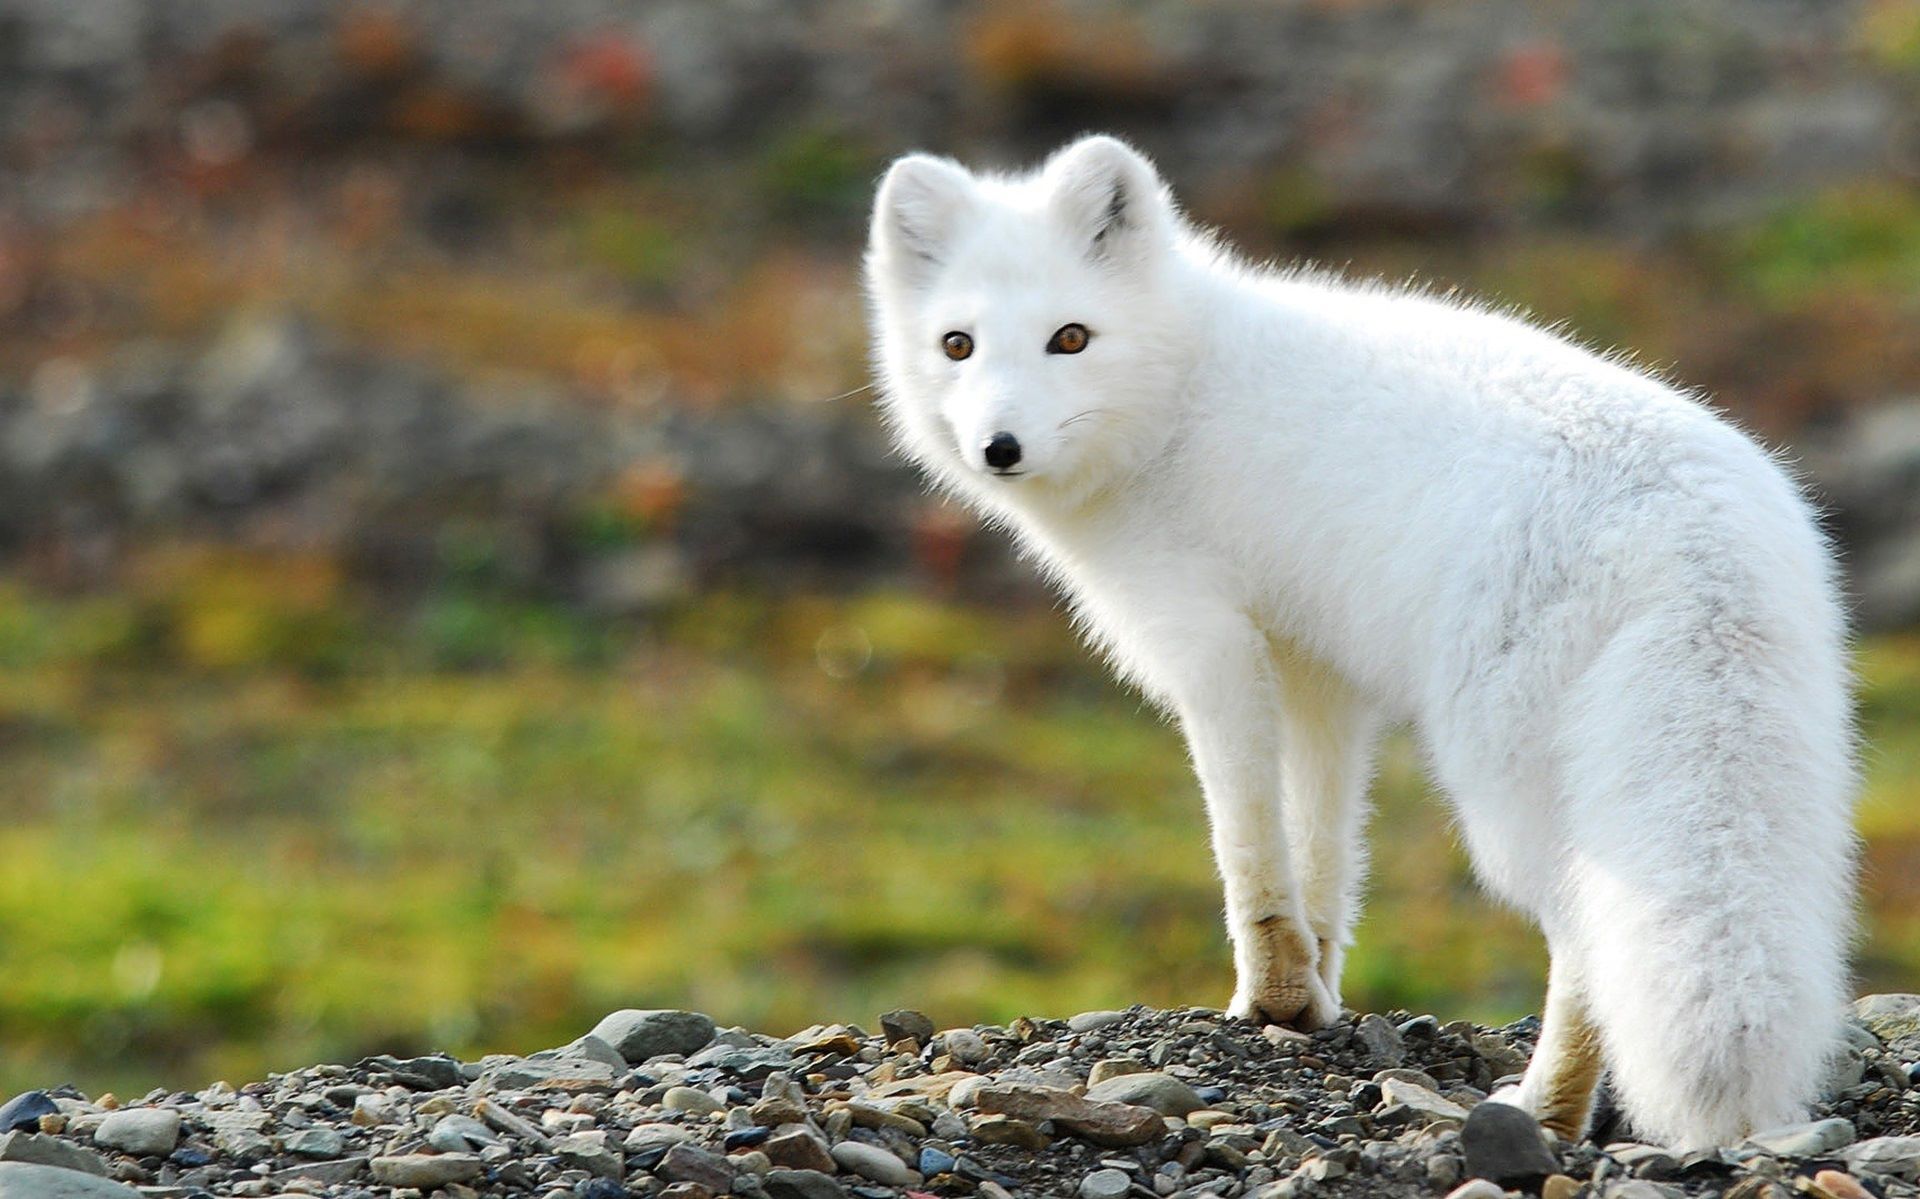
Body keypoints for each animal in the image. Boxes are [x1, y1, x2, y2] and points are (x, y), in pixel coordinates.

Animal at [871, 135, 1858, 1145]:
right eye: (957, 345)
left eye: (1070, 337)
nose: (1000, 447)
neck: (1180, 391)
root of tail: (1694, 531)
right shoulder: (1317, 670)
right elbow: (1324, 847)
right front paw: (1312, 995)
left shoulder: (1209, 644)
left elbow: (1248, 845)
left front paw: (1268, 996)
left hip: (1509, 785)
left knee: (1586, 935)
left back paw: (1545, 1106)